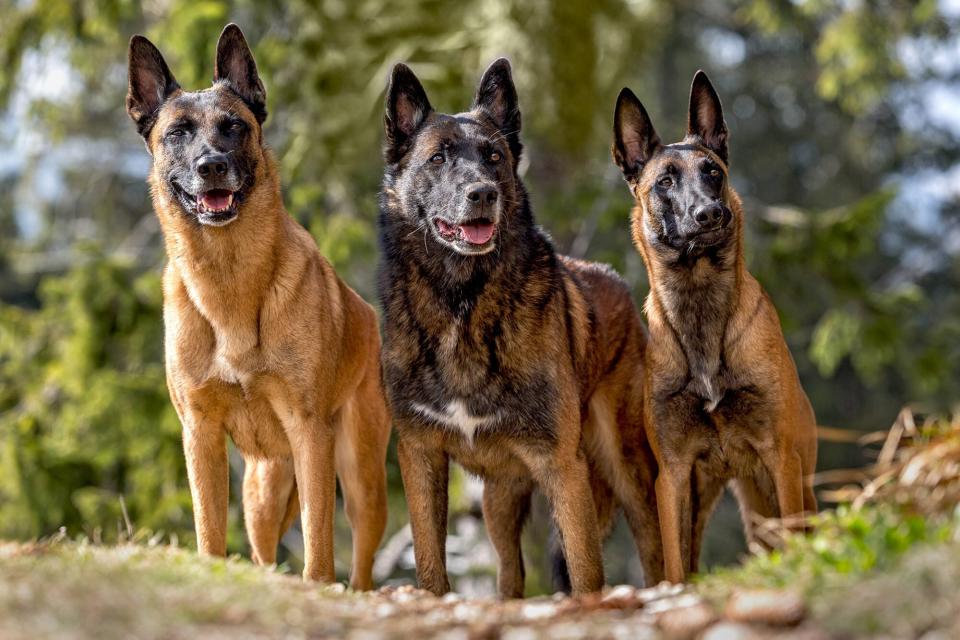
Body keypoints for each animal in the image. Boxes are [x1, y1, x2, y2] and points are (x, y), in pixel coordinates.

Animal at [126, 25, 390, 588]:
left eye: (234, 127)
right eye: (177, 134)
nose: (212, 167)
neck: (229, 283)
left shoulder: (311, 432)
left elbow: (318, 541)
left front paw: (316, 585)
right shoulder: (199, 433)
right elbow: (208, 529)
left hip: (361, 478)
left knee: (360, 560)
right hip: (263, 491)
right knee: (264, 552)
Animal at [378, 57, 664, 596]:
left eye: (494, 156)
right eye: (438, 159)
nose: (483, 193)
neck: (461, 304)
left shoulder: (561, 466)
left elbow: (585, 570)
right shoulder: (420, 454)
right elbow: (430, 561)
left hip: (627, 469)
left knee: (656, 548)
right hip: (499, 500)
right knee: (510, 573)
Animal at [616, 71, 816, 584]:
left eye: (713, 173)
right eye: (665, 180)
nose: (709, 213)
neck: (700, 307)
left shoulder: (779, 457)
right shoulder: (673, 476)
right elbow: (675, 566)